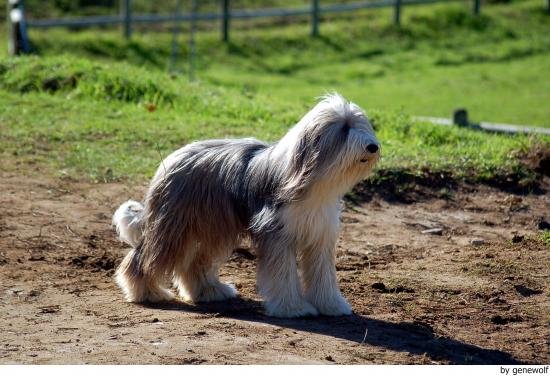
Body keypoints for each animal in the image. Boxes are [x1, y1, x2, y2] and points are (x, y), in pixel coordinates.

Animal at [112, 93, 380, 318]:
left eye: (361, 124)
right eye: (344, 128)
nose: (373, 146)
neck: (316, 181)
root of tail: (171, 158)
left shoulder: (320, 236)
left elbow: (323, 274)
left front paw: (332, 305)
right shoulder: (277, 235)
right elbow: (282, 275)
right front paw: (292, 308)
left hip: (213, 227)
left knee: (194, 263)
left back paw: (210, 291)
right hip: (173, 227)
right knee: (143, 258)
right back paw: (145, 292)